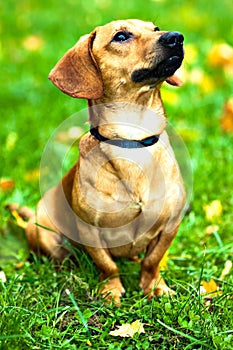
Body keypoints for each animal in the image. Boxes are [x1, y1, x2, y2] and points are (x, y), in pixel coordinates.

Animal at [26, 19, 186, 304]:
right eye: (120, 36)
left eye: (155, 28)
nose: (176, 37)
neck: (132, 140)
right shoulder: (90, 230)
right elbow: (107, 265)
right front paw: (111, 292)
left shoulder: (171, 224)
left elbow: (152, 261)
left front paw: (155, 287)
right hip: (42, 228)